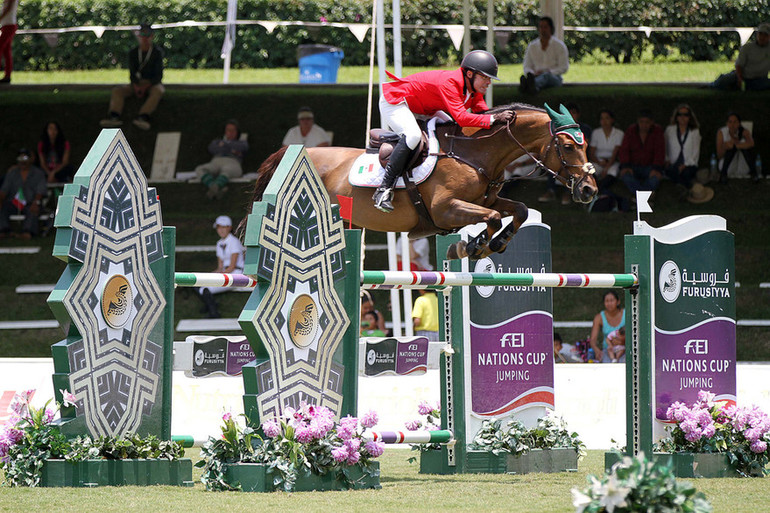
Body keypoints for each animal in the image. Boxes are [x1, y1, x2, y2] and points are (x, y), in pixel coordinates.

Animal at [243, 102, 596, 260]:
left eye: (585, 144)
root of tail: (294, 152)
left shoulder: (487, 199)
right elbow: (494, 217)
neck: (474, 153)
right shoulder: (446, 208)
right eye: (568, 146)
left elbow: (518, 210)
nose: (589, 190)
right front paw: (471, 246)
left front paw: (495, 243)